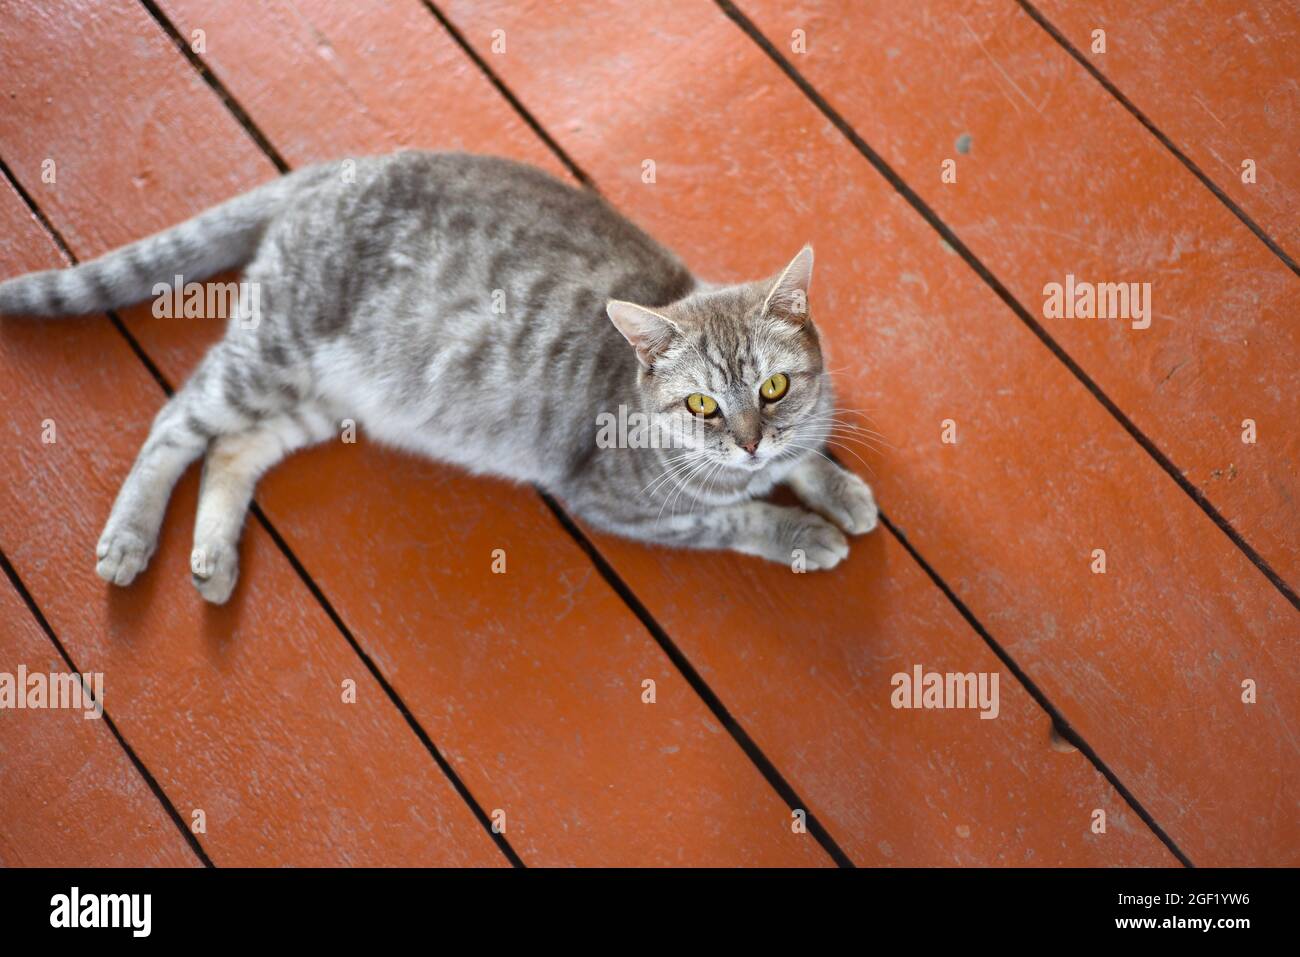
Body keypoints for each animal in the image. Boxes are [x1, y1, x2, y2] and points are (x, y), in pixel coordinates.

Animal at [0, 152, 878, 600]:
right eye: (701, 405)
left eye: (773, 388)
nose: (751, 444)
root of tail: (339, 167)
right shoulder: (616, 501)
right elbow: (735, 518)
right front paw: (804, 530)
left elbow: (811, 454)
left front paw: (837, 486)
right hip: (269, 356)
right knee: (176, 423)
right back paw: (130, 536)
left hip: (318, 398)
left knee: (232, 451)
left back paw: (213, 558)